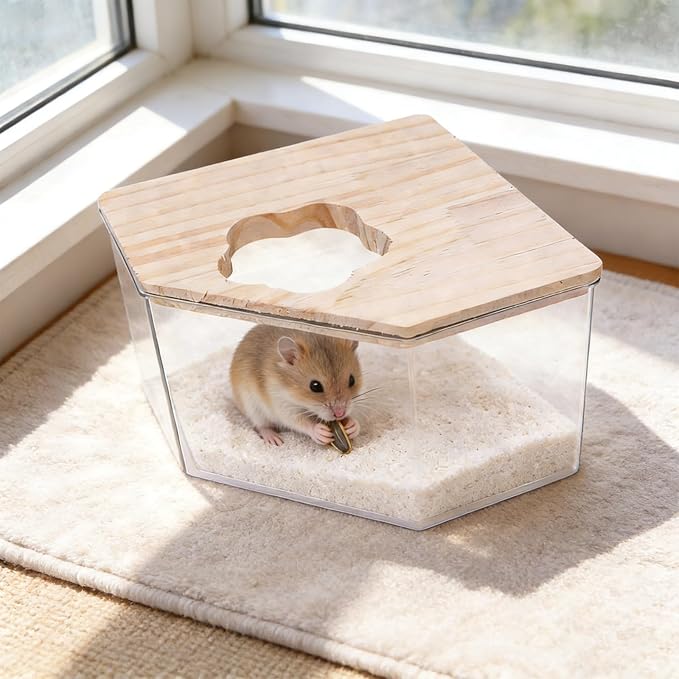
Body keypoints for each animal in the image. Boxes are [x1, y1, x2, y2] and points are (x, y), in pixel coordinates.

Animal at [230, 325, 363, 447]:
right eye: (315, 386)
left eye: (352, 380)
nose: (340, 414)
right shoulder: (282, 405)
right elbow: (299, 422)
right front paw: (321, 433)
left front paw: (352, 426)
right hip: (252, 407)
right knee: (262, 426)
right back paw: (275, 439)